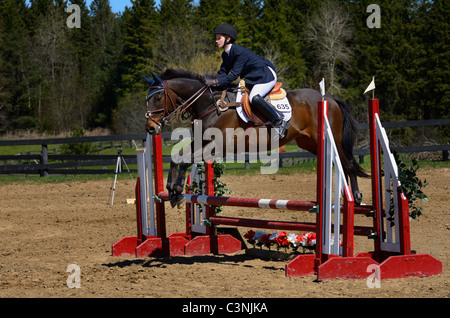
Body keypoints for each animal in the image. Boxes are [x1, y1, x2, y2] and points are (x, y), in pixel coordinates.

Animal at [144, 69, 370, 207]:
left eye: (158, 97)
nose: (150, 128)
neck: (210, 105)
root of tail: (328, 97)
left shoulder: (218, 146)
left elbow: (185, 161)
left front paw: (176, 190)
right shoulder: (203, 142)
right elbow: (177, 158)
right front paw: (171, 191)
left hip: (333, 140)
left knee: (348, 163)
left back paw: (356, 197)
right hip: (310, 143)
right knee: (341, 162)